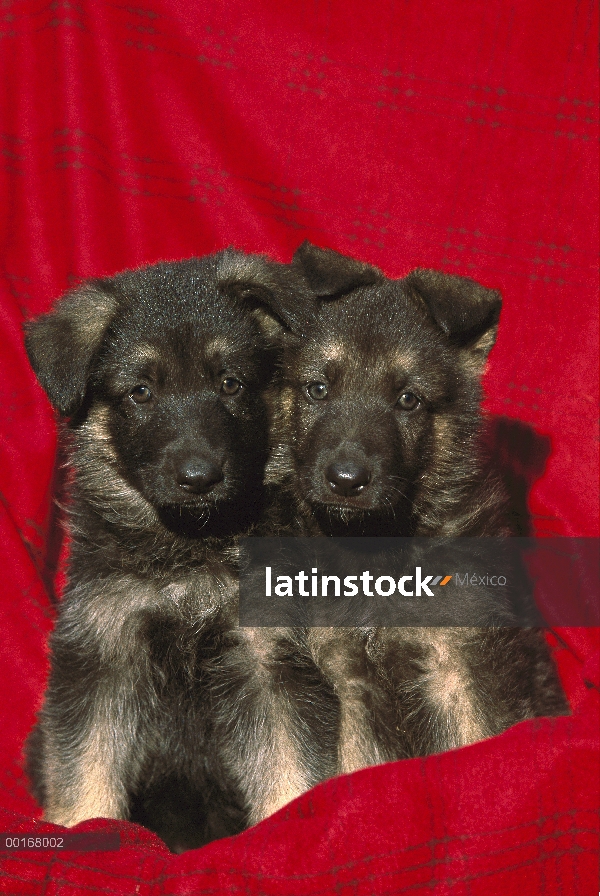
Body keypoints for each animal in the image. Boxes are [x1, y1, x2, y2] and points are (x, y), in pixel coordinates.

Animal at [24, 250, 338, 848]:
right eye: (140, 392)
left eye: (231, 383)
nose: (199, 477)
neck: (189, 550)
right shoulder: (101, 649)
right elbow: (84, 764)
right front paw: (79, 827)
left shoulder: (270, 659)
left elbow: (290, 764)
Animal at [272, 242, 568, 772]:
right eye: (317, 389)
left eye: (408, 400)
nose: (346, 481)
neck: (372, 548)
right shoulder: (344, 677)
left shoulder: (463, 667)